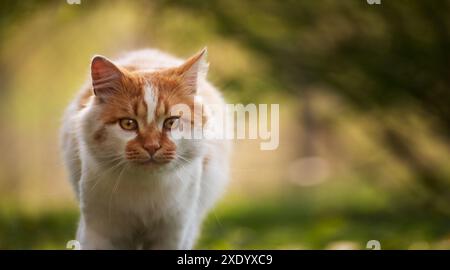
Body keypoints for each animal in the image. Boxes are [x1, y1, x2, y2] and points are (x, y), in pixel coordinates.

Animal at [60, 48, 230, 249]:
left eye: (171, 122)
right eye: (128, 124)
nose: (152, 146)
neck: (146, 187)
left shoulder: (174, 231)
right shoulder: (98, 230)